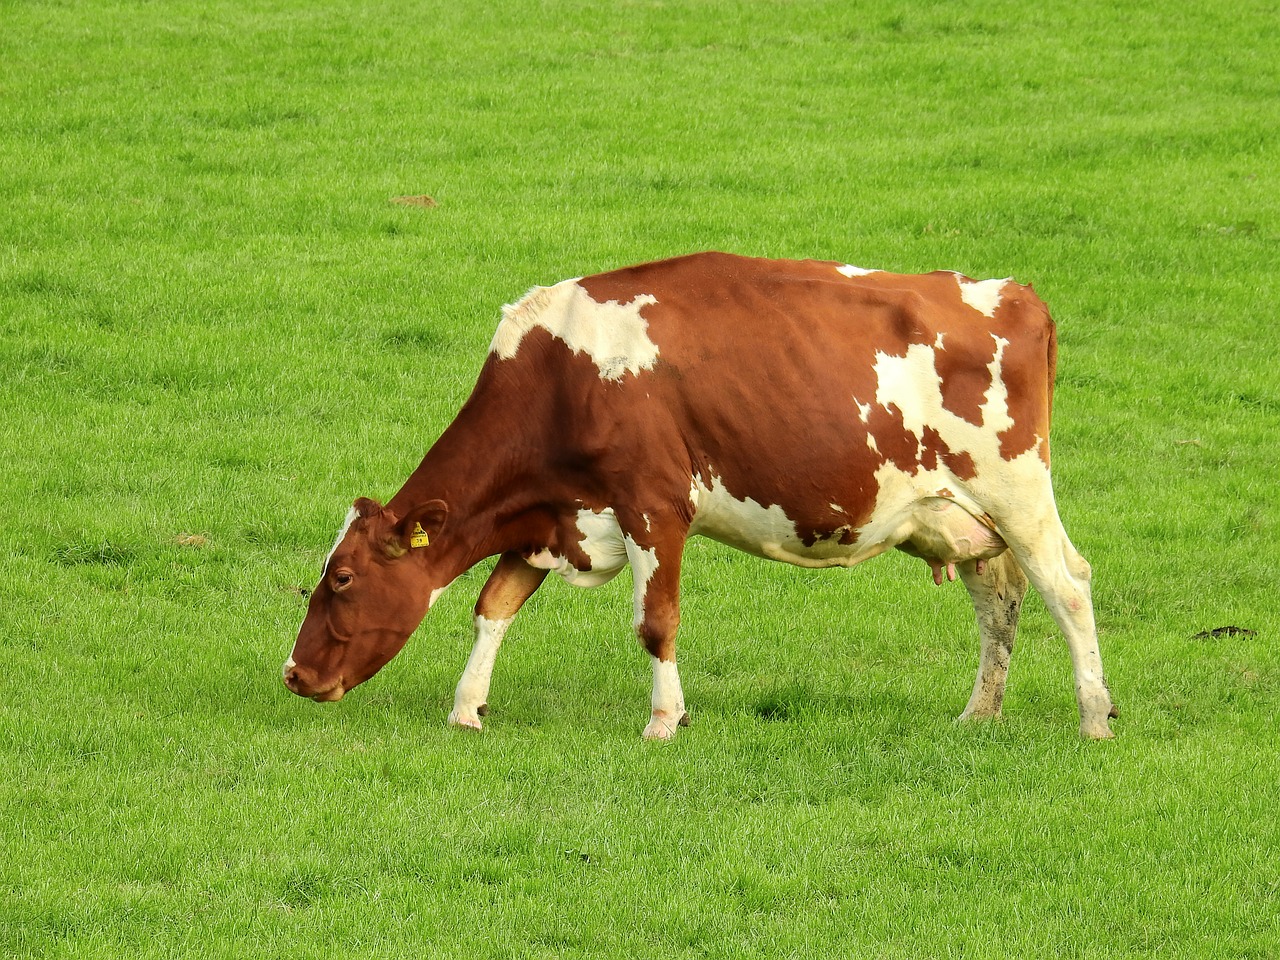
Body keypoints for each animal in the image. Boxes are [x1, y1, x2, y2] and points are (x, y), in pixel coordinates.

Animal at [285, 252, 1116, 742]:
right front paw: (467, 707)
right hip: (961, 518)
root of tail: (1014, 292)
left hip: (1017, 493)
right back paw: (979, 713)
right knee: (999, 600)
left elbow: (656, 622)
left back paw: (1094, 715)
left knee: (1068, 587)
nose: (295, 675)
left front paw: (664, 720)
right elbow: (494, 606)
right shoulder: (553, 517)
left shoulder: (654, 506)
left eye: (343, 579)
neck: (562, 371)